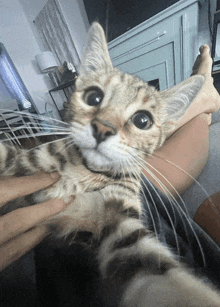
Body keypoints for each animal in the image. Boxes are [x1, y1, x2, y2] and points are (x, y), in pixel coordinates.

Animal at [0, 22, 220, 307]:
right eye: (93, 97)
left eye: (143, 120)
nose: (103, 128)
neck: (84, 174)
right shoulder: (21, 163)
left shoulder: (120, 216)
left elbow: (148, 264)